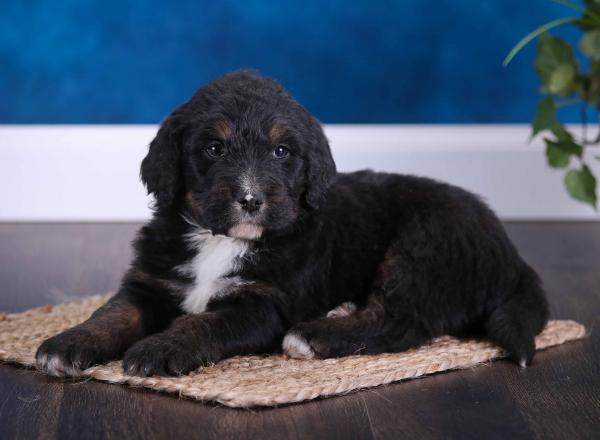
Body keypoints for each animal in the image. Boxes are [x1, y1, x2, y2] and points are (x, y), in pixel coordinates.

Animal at [32, 70, 548, 376]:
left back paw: (313, 336)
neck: (221, 242)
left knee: (401, 320)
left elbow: (201, 325)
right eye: (214, 148)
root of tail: (513, 254)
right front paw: (66, 344)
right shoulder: (151, 281)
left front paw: (157, 349)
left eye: (282, 151)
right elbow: (112, 314)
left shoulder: (264, 305)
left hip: (421, 247)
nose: (250, 199)